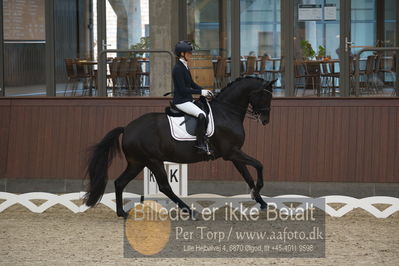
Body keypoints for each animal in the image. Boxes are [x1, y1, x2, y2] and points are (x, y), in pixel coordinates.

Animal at [83, 76, 274, 217]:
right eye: (266, 96)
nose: (265, 120)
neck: (227, 112)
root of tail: (127, 128)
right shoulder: (231, 152)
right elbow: (259, 165)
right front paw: (258, 192)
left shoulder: (234, 153)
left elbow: (248, 176)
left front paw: (260, 200)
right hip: (153, 161)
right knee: (164, 186)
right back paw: (190, 211)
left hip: (137, 162)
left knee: (120, 182)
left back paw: (122, 212)